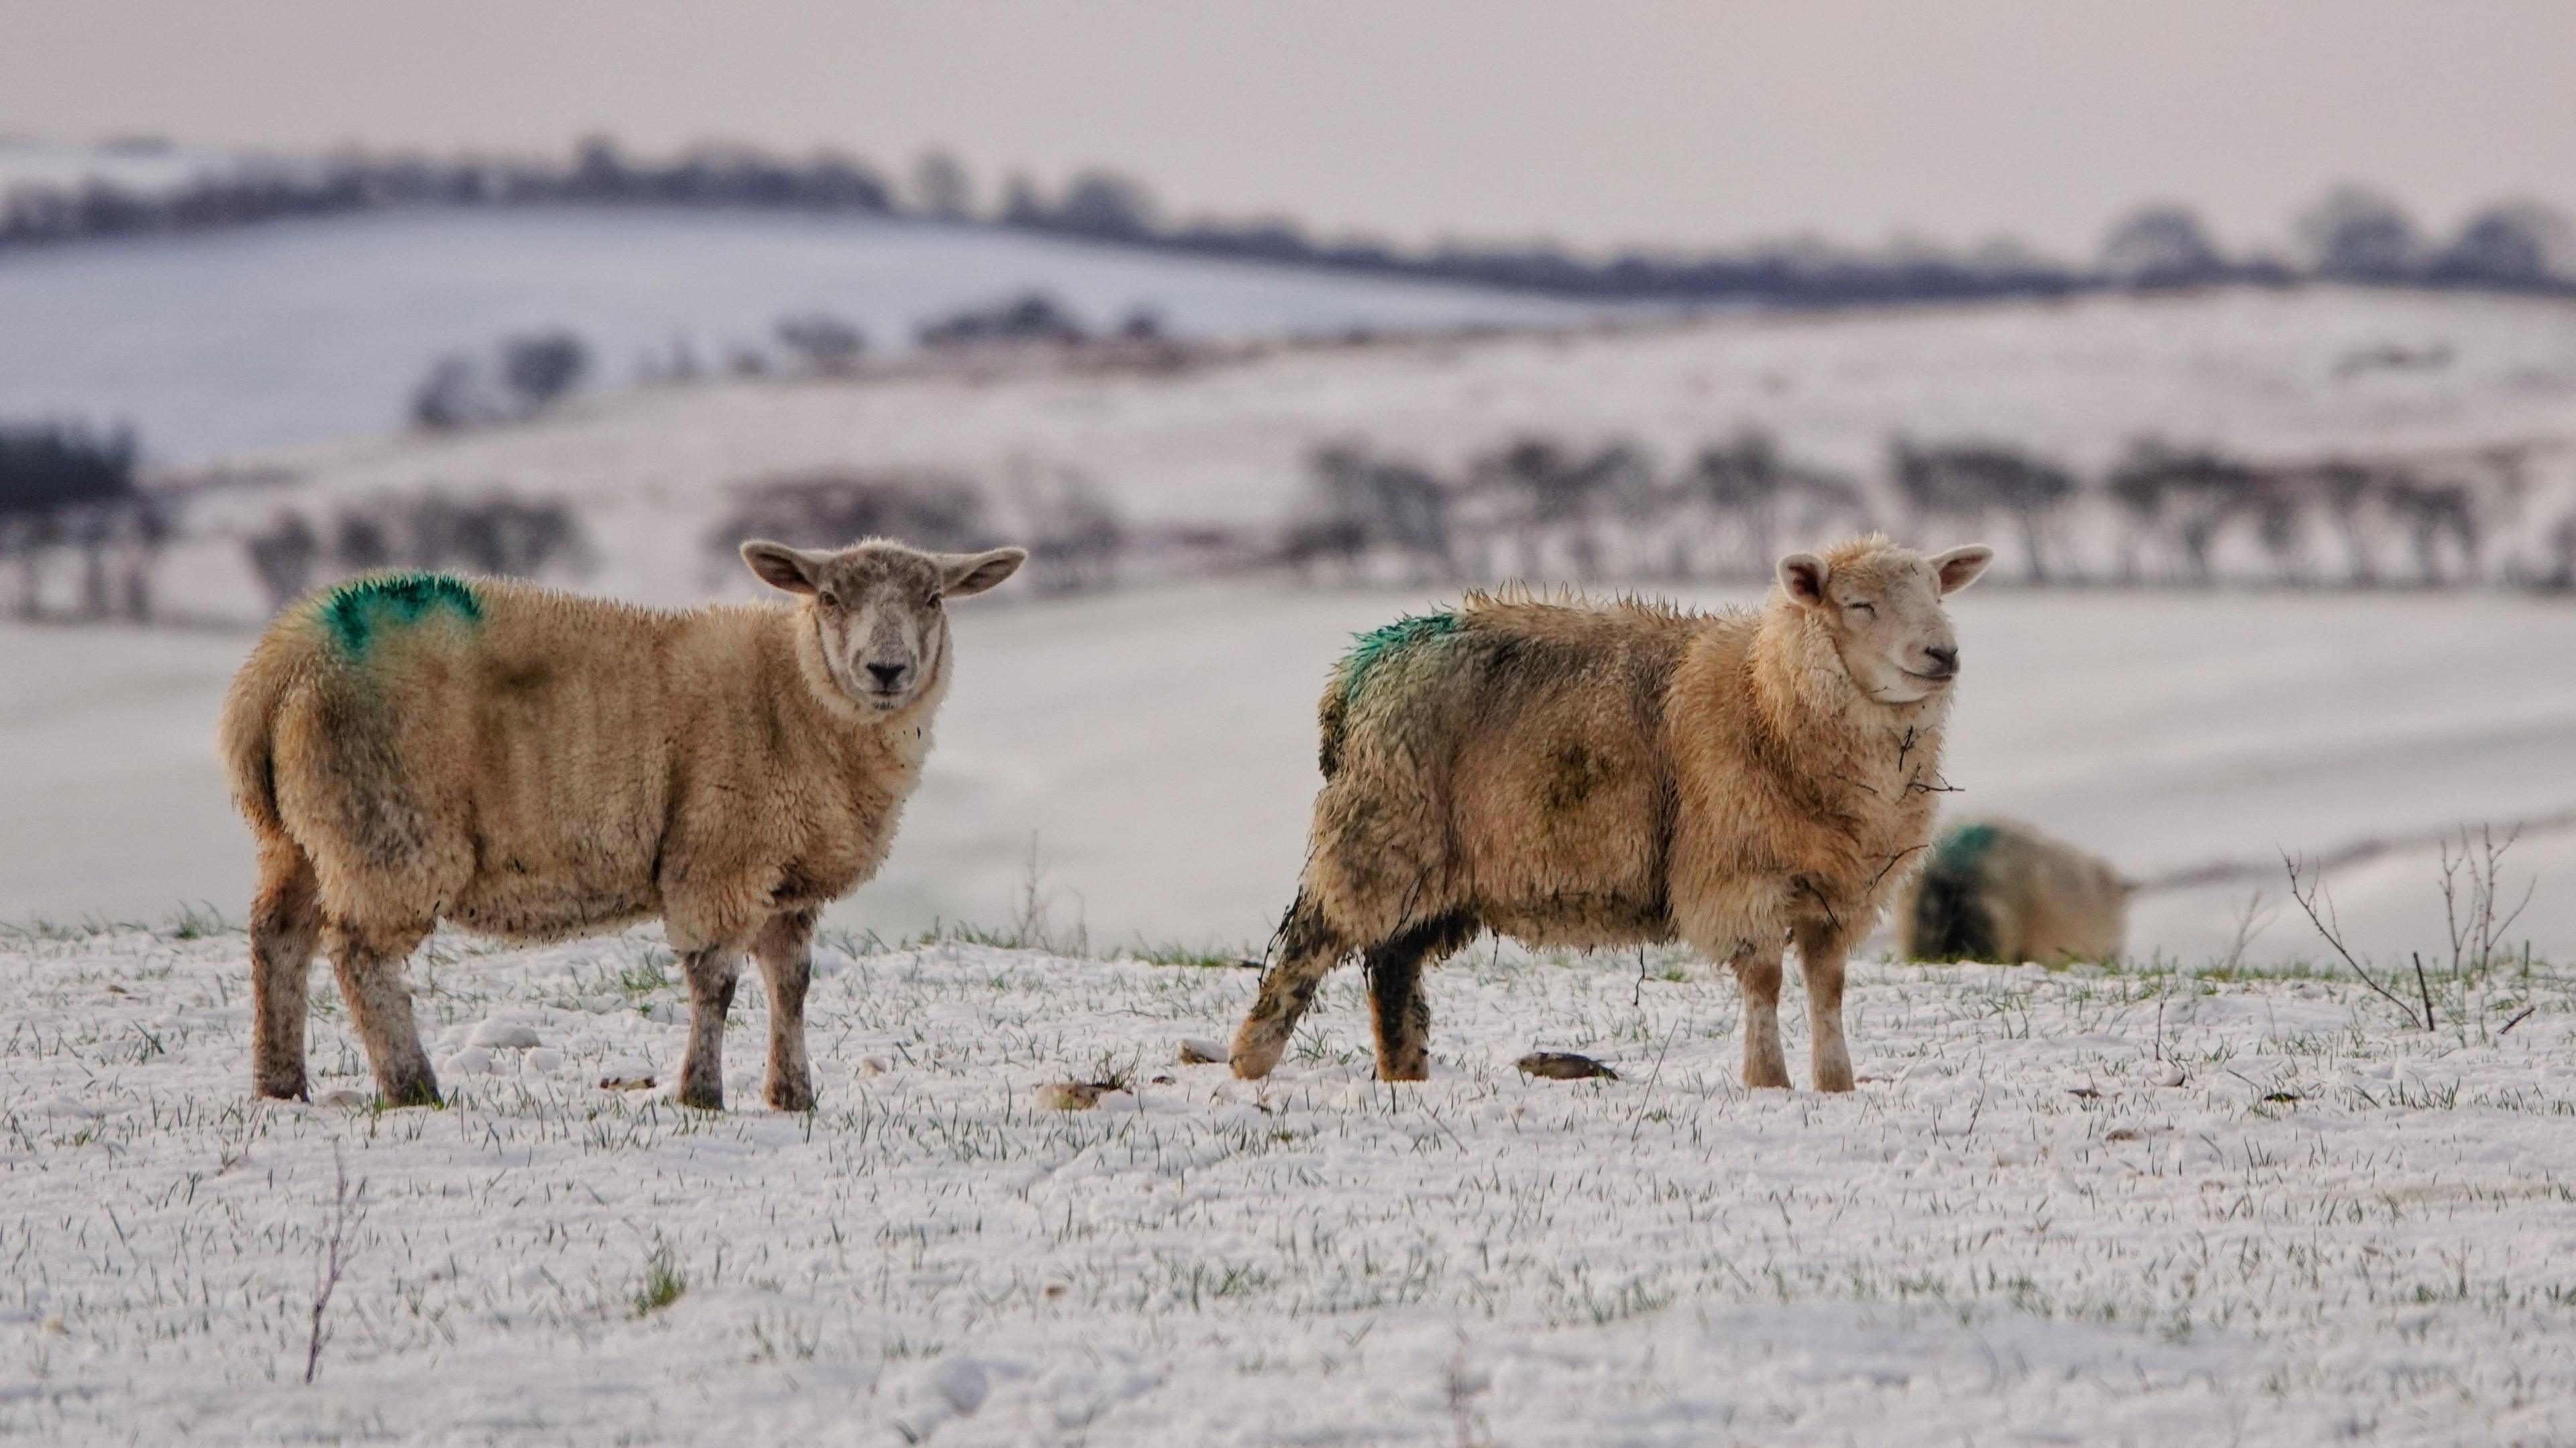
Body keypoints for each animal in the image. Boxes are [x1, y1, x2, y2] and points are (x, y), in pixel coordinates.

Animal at [217, 538, 1025, 1110]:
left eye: (932, 597)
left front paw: (793, 1095)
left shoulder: (785, 879)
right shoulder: (720, 853)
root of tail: (277, 665)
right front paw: (702, 1093)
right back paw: (413, 1085)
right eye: (829, 596)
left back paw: (281, 1083)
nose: (887, 669)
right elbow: (716, 980)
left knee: (278, 939)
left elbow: (790, 984)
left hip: (300, 835)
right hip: (388, 828)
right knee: (358, 956)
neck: (794, 691)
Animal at [1229, 533, 1993, 1092]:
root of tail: (1356, 671)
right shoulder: (1735, 874)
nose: (1944, 653)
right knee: (1308, 945)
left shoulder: (1841, 888)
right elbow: (1766, 981)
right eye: (1860, 604)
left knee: (1393, 963)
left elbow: (1827, 986)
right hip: (1378, 831)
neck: (1766, 691)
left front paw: (1836, 1084)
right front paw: (1768, 1081)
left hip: (1432, 864)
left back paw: (1404, 1072)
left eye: (1936, 593)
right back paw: (1251, 1061)